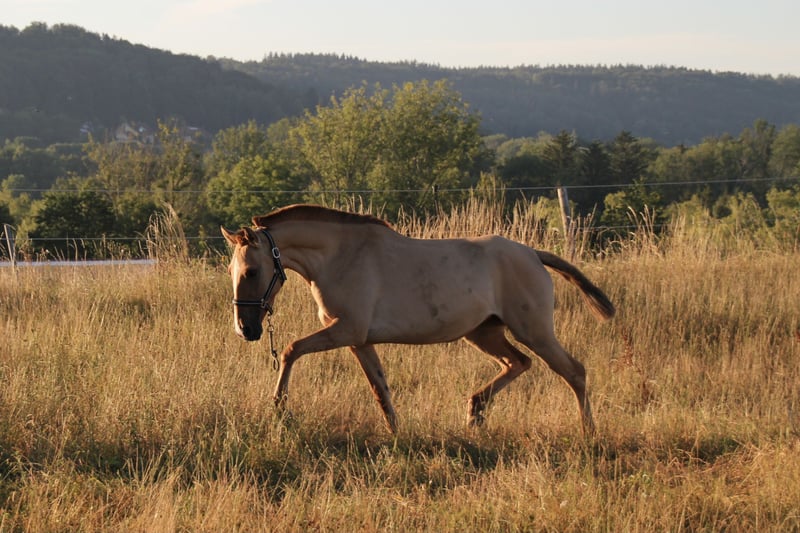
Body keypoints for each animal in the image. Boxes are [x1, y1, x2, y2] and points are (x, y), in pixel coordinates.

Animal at [221, 204, 615, 436]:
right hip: (484, 333)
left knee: (574, 371)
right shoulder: (360, 341)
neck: (340, 256)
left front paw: (279, 406)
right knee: (518, 363)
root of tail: (532, 253)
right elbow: (380, 389)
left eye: (252, 271)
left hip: (534, 331)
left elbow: (290, 350)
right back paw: (475, 410)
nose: (246, 330)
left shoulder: (345, 330)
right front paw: (397, 434)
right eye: (230, 271)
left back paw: (589, 433)